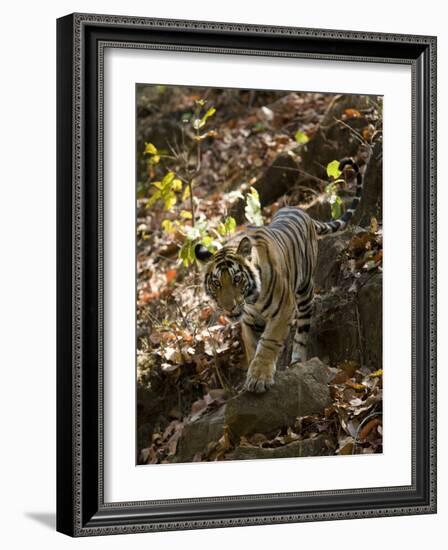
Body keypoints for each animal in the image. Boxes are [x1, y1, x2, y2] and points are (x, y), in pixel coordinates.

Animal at [196, 157, 364, 394]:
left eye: (237, 279)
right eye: (217, 284)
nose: (228, 308)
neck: (251, 299)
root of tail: (302, 211)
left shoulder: (284, 309)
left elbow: (268, 343)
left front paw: (259, 378)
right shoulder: (248, 321)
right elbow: (252, 348)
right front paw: (252, 372)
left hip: (304, 292)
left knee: (302, 330)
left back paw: (297, 361)